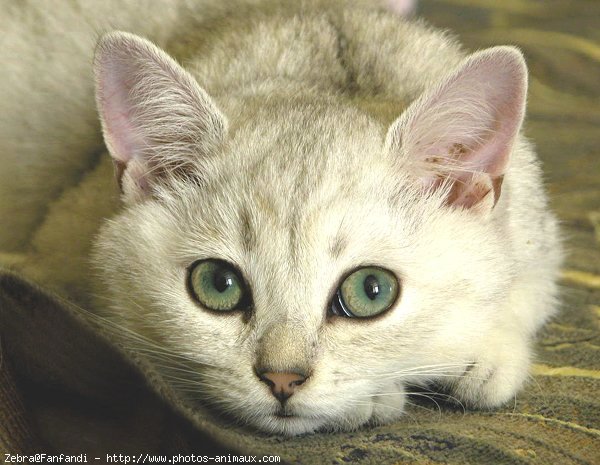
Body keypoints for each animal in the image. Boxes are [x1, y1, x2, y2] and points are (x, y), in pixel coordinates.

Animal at [1, 0, 564, 436]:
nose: (282, 380)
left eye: (372, 291)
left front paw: (484, 352)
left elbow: (523, 291)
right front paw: (375, 396)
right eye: (218, 283)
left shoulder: (535, 233)